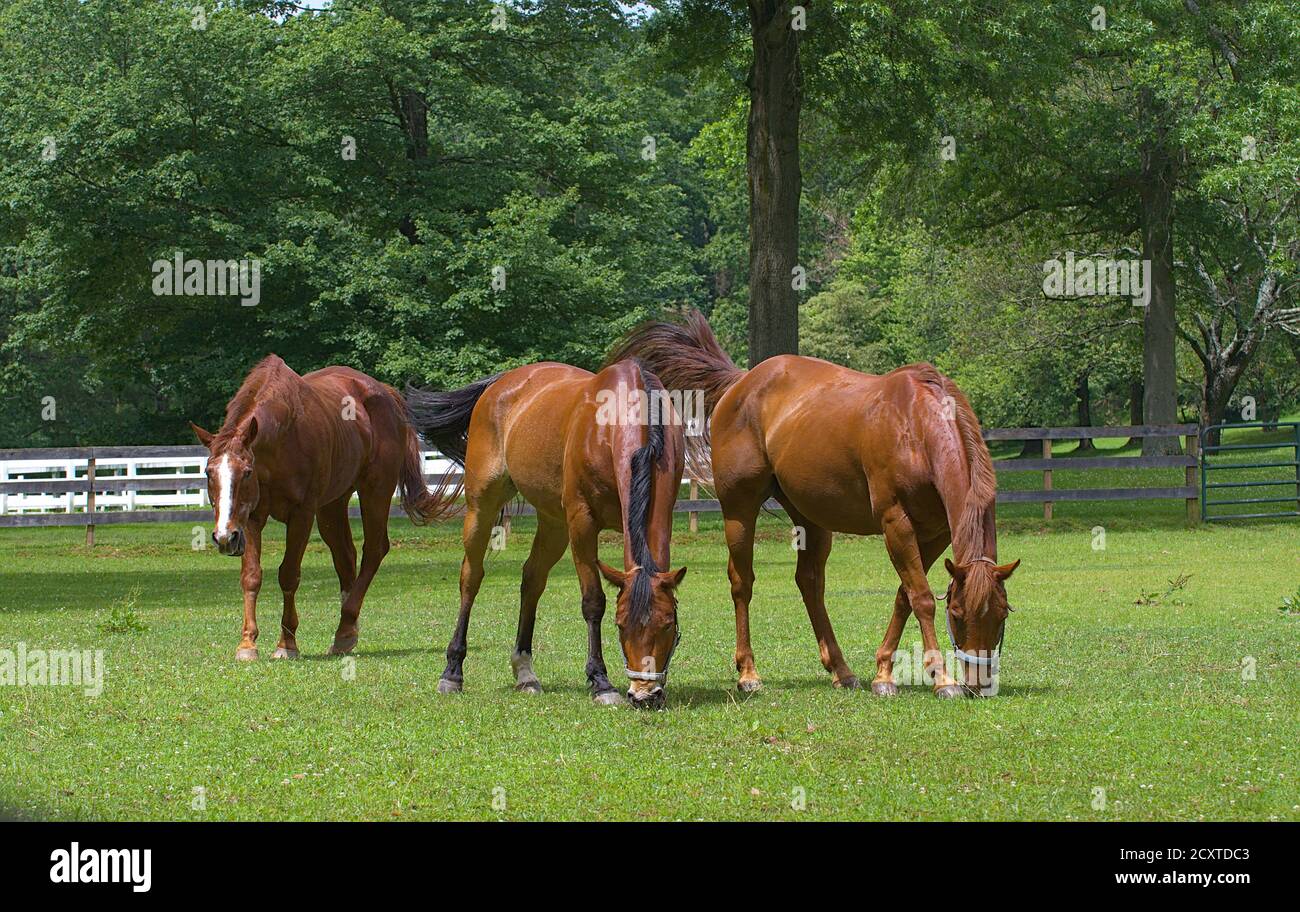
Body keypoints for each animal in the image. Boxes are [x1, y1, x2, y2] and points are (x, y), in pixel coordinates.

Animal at [190, 354, 442, 660]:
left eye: (247, 472)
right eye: (208, 472)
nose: (224, 537)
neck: (282, 439)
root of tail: (385, 393)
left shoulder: (302, 513)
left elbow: (288, 575)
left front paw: (287, 644)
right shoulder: (251, 518)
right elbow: (251, 576)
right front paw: (247, 643)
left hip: (375, 491)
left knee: (373, 550)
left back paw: (346, 625)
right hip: (332, 505)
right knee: (345, 556)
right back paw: (347, 632)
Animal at [406, 359, 687, 708]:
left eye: (668, 624)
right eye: (620, 625)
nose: (644, 695)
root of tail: (501, 383)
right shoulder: (582, 523)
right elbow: (593, 602)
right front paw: (601, 682)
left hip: (554, 524)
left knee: (532, 580)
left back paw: (525, 673)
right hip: (481, 508)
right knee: (471, 578)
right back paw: (452, 672)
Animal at [606, 309, 1019, 698]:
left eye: (1002, 614)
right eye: (957, 613)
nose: (979, 684)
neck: (915, 425)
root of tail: (740, 382)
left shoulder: (934, 533)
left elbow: (905, 594)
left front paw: (883, 672)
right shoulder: (896, 525)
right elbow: (921, 597)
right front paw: (940, 678)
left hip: (811, 518)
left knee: (809, 583)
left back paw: (841, 669)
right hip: (739, 510)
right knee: (742, 582)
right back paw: (748, 673)